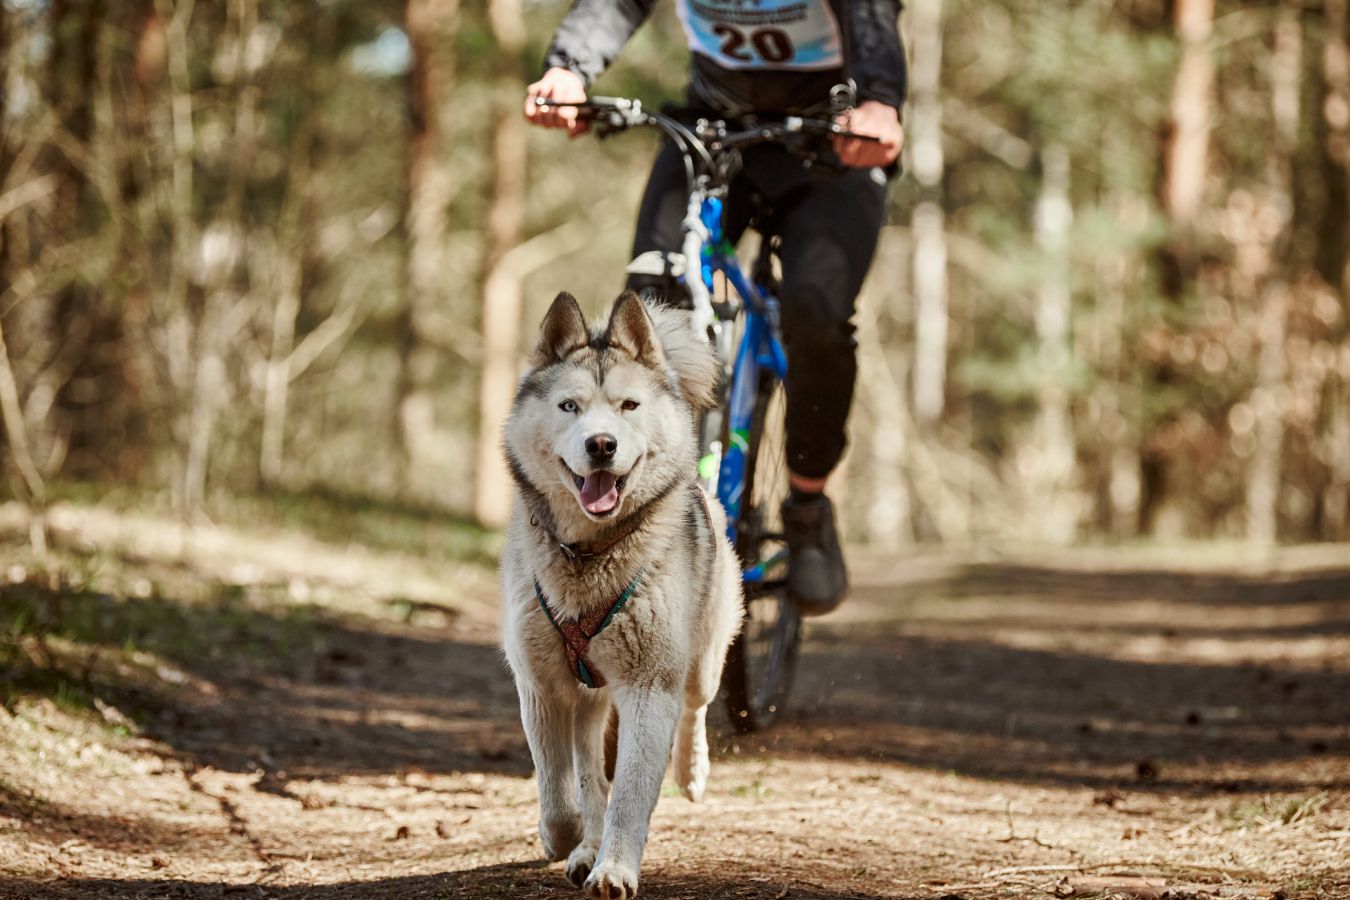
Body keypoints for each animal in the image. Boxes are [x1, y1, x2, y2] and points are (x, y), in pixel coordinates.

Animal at [502, 292, 745, 895]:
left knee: (695, 707)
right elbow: (559, 785)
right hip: (589, 696)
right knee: (589, 766)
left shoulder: (648, 686)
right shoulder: (540, 684)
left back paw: (691, 770)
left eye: (629, 405)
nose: (601, 443)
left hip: (702, 660)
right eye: (569, 406)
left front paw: (614, 868)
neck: (587, 556)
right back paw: (584, 843)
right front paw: (567, 839)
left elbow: (630, 792)